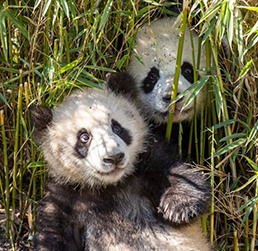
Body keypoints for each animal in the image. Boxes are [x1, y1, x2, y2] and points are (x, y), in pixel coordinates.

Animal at [31, 85, 210, 250]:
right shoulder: (65, 197)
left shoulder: (146, 160)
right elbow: (53, 235)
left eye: (117, 127)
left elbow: (178, 172)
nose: (114, 157)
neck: (111, 186)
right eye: (84, 137)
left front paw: (179, 207)